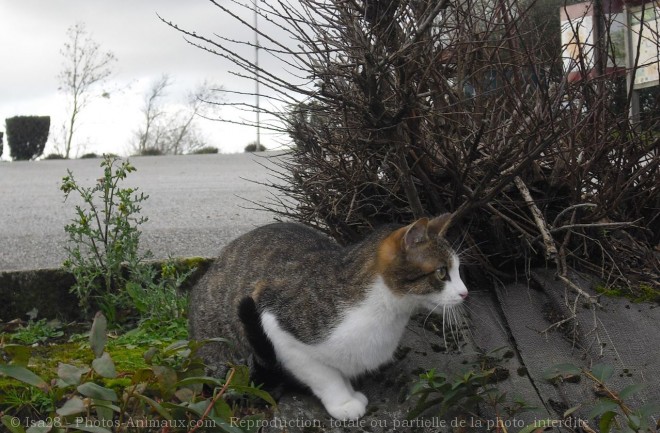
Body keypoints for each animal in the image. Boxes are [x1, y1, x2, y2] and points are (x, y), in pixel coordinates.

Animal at [188, 214, 470, 420]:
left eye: (458, 270)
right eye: (442, 272)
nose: (465, 292)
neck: (384, 310)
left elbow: (340, 366)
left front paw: (351, 391)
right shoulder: (274, 320)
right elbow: (324, 375)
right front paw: (343, 402)